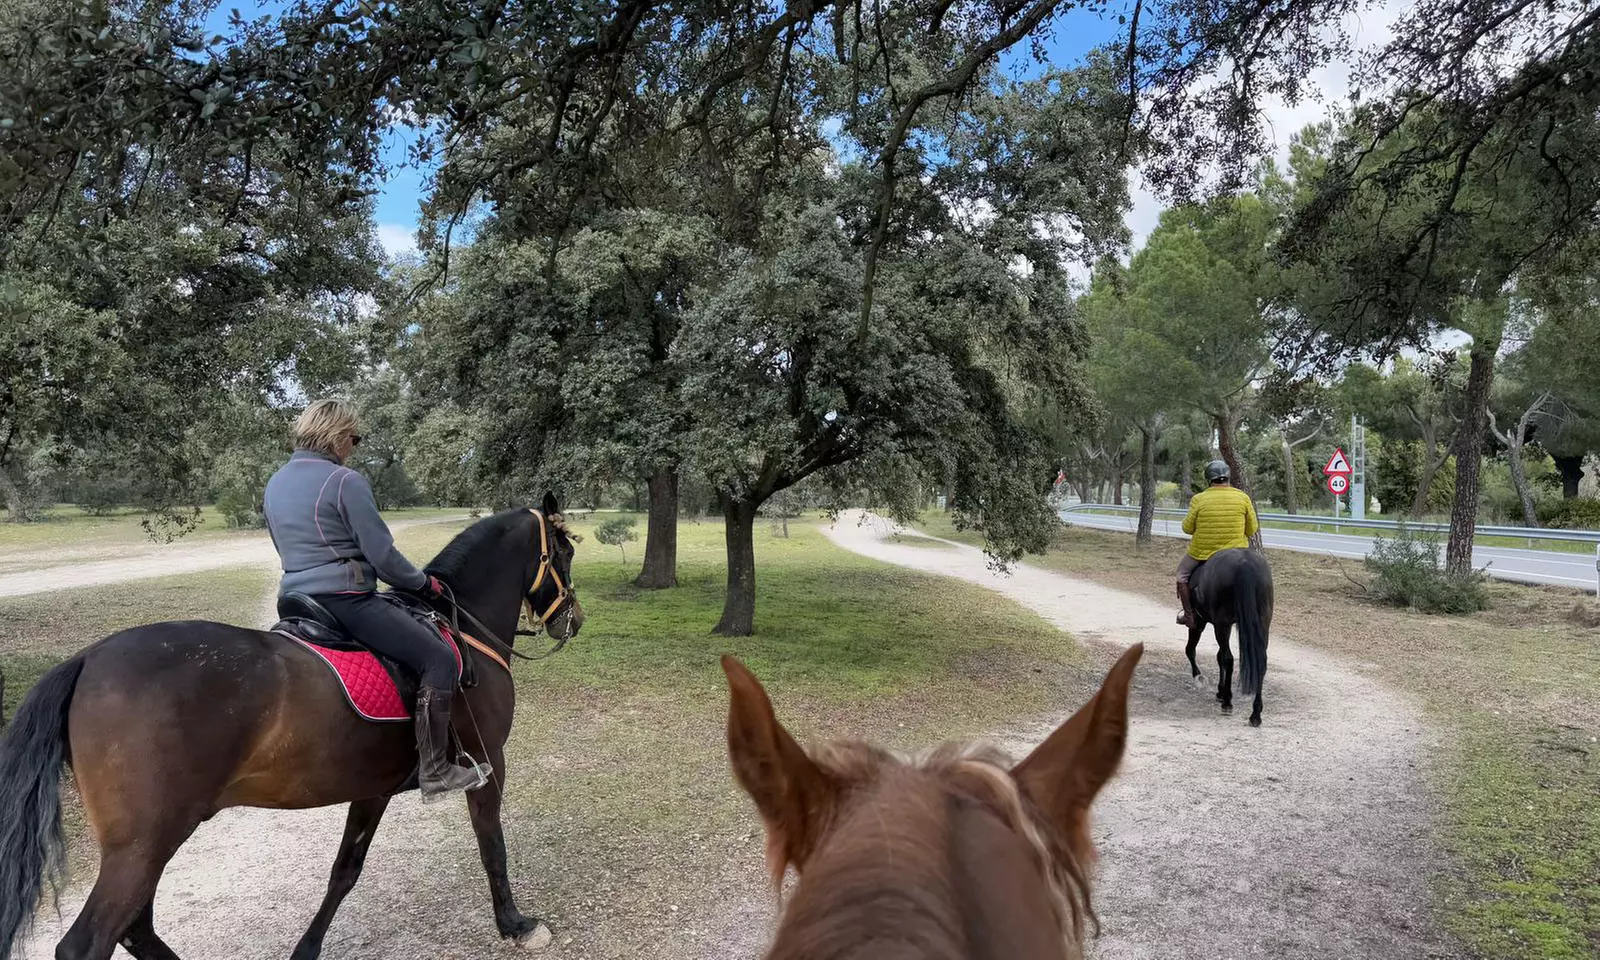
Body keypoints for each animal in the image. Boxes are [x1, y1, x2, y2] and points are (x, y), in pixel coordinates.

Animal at [0, 496, 583, 960]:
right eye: (566, 553)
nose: (572, 621)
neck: (459, 628)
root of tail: (87, 659)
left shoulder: (373, 790)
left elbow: (344, 872)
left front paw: (307, 949)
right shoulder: (489, 762)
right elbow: (492, 846)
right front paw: (515, 925)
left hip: (147, 843)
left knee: (135, 930)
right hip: (143, 845)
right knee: (91, 942)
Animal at [1184, 547, 1273, 726]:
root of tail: (1246, 563)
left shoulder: (1199, 623)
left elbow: (1191, 650)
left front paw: (1200, 677)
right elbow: (1218, 656)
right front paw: (1219, 690)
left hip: (1220, 624)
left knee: (1228, 658)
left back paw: (1227, 701)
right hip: (1262, 623)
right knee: (1260, 662)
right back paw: (1255, 714)